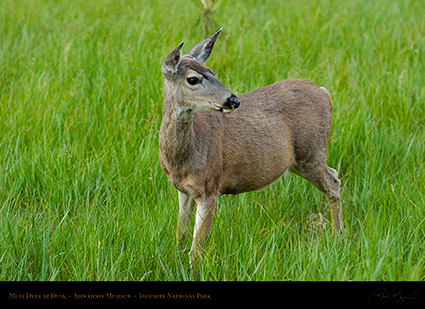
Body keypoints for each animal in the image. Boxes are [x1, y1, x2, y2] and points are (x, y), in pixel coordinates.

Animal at [158, 28, 342, 262]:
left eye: (213, 72)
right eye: (193, 79)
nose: (233, 100)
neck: (184, 158)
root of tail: (325, 92)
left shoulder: (210, 186)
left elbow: (196, 249)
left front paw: (191, 267)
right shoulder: (183, 189)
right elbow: (180, 233)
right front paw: (175, 260)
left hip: (311, 152)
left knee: (334, 183)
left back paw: (338, 238)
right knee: (334, 175)